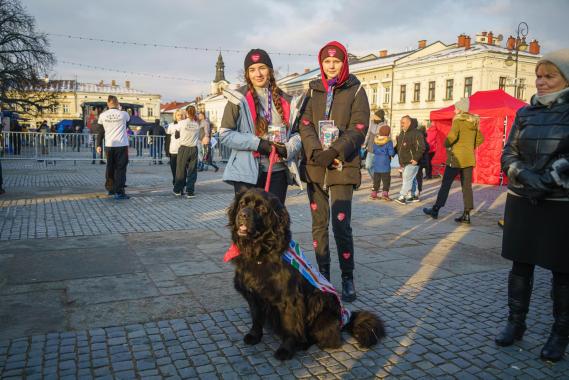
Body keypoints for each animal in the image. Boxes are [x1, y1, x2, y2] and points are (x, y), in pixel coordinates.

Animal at [227, 189, 386, 360]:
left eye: (261, 208)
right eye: (242, 203)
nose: (243, 215)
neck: (260, 253)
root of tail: (345, 318)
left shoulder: (290, 299)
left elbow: (290, 326)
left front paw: (286, 350)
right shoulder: (254, 295)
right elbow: (256, 318)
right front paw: (254, 336)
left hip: (321, 303)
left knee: (330, 338)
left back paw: (303, 343)